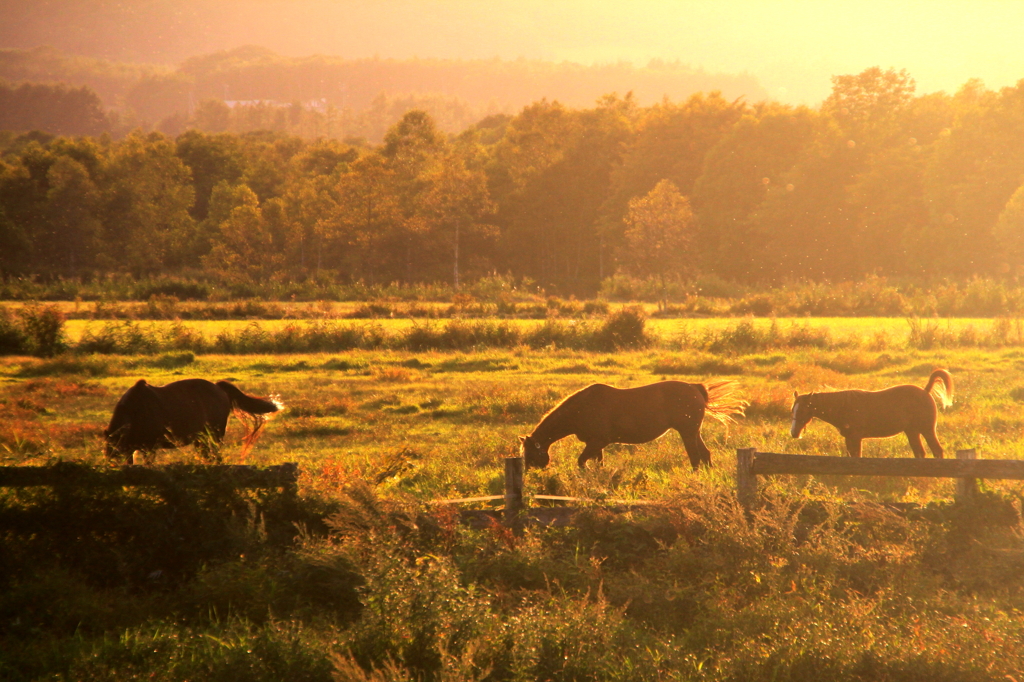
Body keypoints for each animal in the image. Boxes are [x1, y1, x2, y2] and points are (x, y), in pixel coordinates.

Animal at [103, 374, 282, 464]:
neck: (136, 411)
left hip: (215, 436)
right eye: (108, 452)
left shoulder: (150, 447)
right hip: (201, 440)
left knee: (216, 457)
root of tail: (218, 388)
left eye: (115, 453)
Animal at [520, 376, 745, 466]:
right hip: (693, 432)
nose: (530, 472)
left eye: (530, 454)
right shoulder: (595, 444)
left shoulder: (598, 442)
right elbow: (598, 464)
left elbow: (582, 462)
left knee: (696, 457)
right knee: (705, 455)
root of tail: (695, 388)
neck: (582, 408)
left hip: (687, 433)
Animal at [790, 366, 950, 456]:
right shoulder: (849, 438)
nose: (794, 433)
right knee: (920, 453)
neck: (843, 407)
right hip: (912, 431)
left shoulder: (855, 438)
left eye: (803, 410)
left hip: (927, 430)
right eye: (793, 411)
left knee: (937, 451)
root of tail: (925, 391)